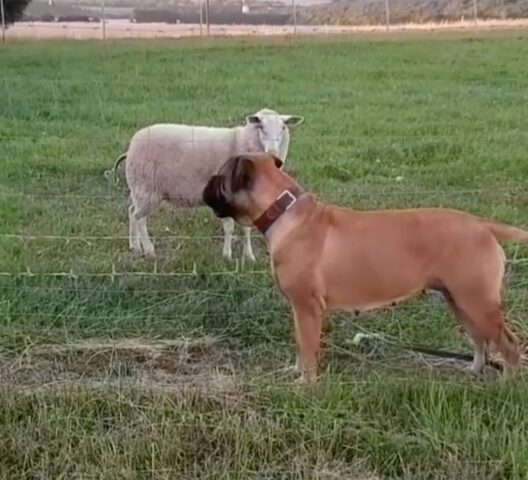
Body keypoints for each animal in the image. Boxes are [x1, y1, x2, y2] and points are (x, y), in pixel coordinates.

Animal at [109, 108, 304, 260]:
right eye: (260, 126)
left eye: (283, 127)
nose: (273, 153)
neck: (240, 141)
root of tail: (131, 148)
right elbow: (229, 227)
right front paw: (227, 256)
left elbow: (246, 228)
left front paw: (249, 257)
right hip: (147, 189)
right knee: (140, 218)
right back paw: (149, 250)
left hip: (140, 189)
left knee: (131, 212)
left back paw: (135, 247)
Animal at [202, 156, 524, 384]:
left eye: (220, 177)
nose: (205, 184)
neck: (281, 210)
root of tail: (482, 225)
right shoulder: (299, 310)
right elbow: (300, 345)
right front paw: (294, 371)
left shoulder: (307, 308)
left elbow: (308, 349)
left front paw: (306, 383)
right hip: (461, 301)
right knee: (480, 340)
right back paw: (473, 371)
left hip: (477, 302)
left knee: (509, 345)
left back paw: (506, 386)